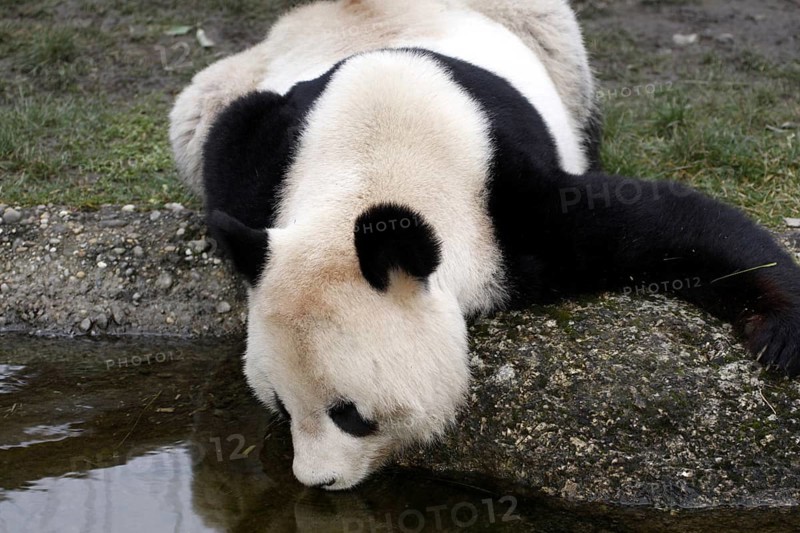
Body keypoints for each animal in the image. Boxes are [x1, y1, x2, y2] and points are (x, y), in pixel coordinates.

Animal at [170, 0, 800, 490]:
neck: (375, 162)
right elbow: (230, 149)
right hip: (228, 78)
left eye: (350, 415)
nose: (317, 481)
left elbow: (673, 226)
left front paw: (780, 334)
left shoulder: (508, 201)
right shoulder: (267, 158)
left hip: (546, 37)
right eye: (279, 405)